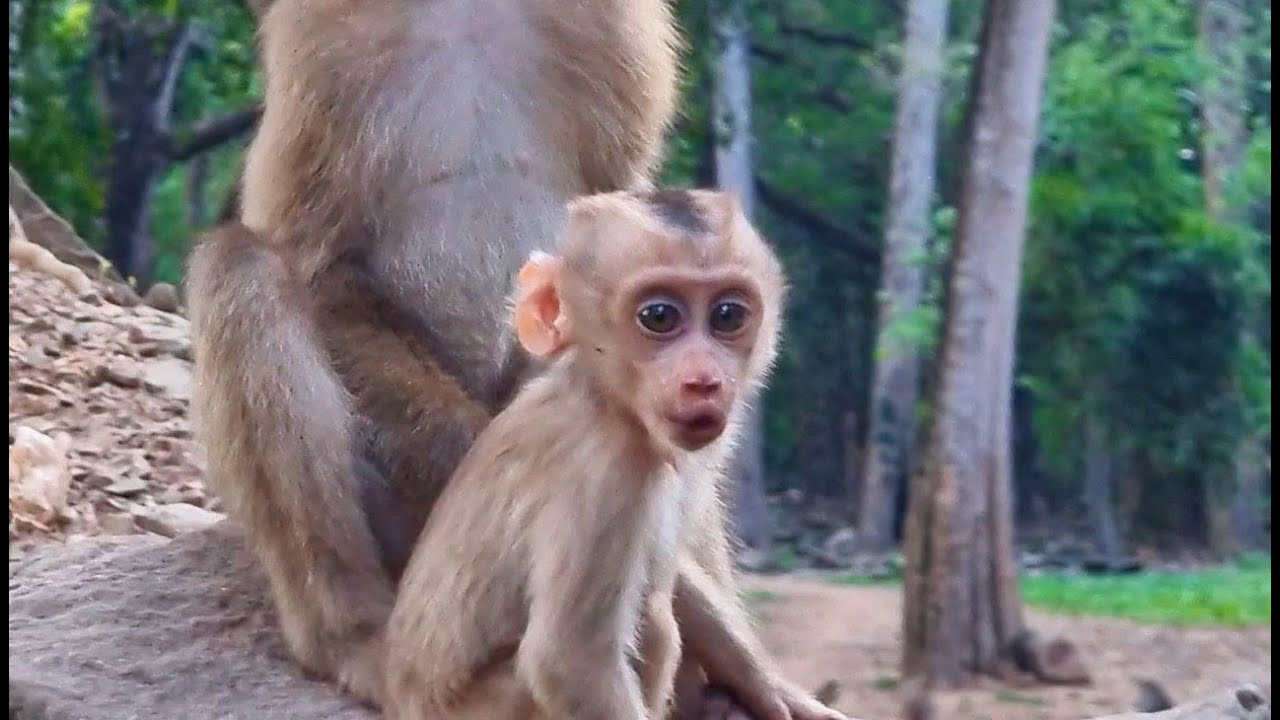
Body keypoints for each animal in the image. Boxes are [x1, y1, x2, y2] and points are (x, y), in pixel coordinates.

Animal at [385, 189, 795, 720]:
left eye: (728, 315)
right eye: (659, 317)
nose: (704, 380)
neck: (603, 398)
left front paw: (764, 684)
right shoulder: (605, 471)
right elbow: (568, 660)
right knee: (652, 622)